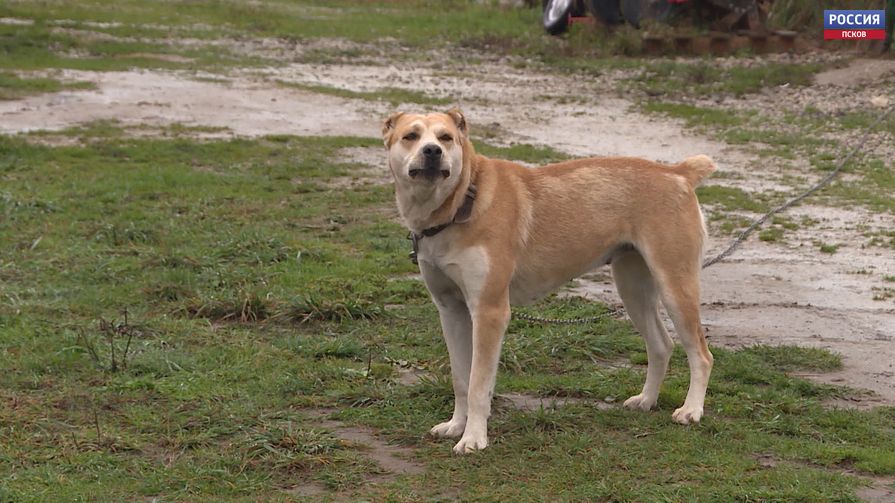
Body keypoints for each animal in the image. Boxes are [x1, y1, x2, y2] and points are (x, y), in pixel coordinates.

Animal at [382, 108, 716, 454]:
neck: (463, 201)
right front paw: (455, 427)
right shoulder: (451, 311)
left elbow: (478, 384)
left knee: (701, 355)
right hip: (633, 289)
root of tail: (677, 173)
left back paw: (691, 410)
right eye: (411, 136)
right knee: (661, 345)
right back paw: (647, 400)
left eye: (445, 137)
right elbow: (461, 379)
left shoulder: (489, 311)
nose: (432, 151)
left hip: (676, 287)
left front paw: (473, 438)